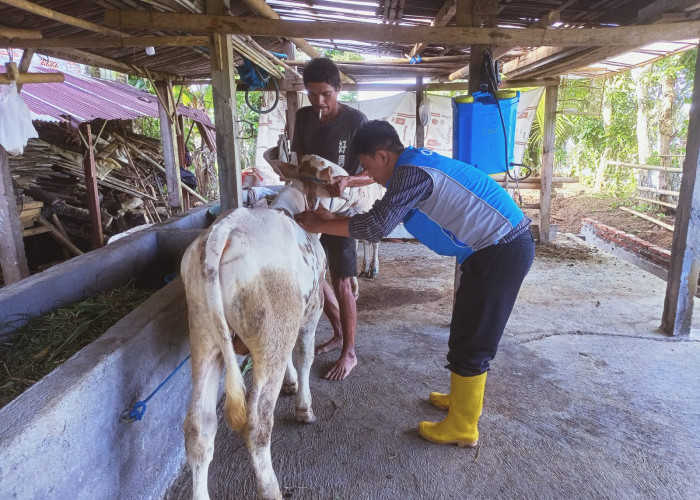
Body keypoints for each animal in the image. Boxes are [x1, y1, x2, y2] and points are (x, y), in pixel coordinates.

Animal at [180, 154, 358, 498]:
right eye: (338, 173)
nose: (358, 198)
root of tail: (224, 231)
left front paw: (290, 384)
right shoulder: (310, 312)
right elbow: (305, 358)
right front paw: (303, 407)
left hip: (204, 335)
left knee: (198, 427)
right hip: (271, 330)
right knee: (257, 423)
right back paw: (271, 488)